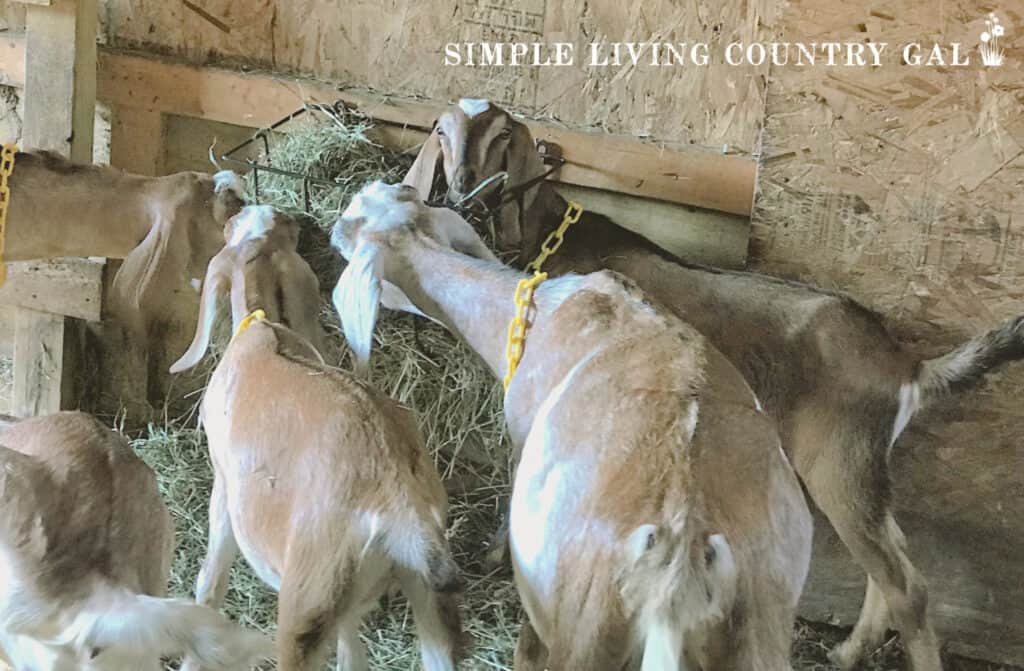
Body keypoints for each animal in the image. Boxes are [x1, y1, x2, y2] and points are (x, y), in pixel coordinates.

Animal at [169, 204, 466, 671]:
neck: (263, 328)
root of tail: (400, 505)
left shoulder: (223, 486)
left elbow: (210, 580)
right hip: (423, 598)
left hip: (307, 601)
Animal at [327, 182, 806, 671]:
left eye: (346, 236)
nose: (333, 226)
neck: (530, 318)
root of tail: (682, 547)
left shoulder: (522, 432)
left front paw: (493, 554)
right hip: (762, 626)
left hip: (580, 625)